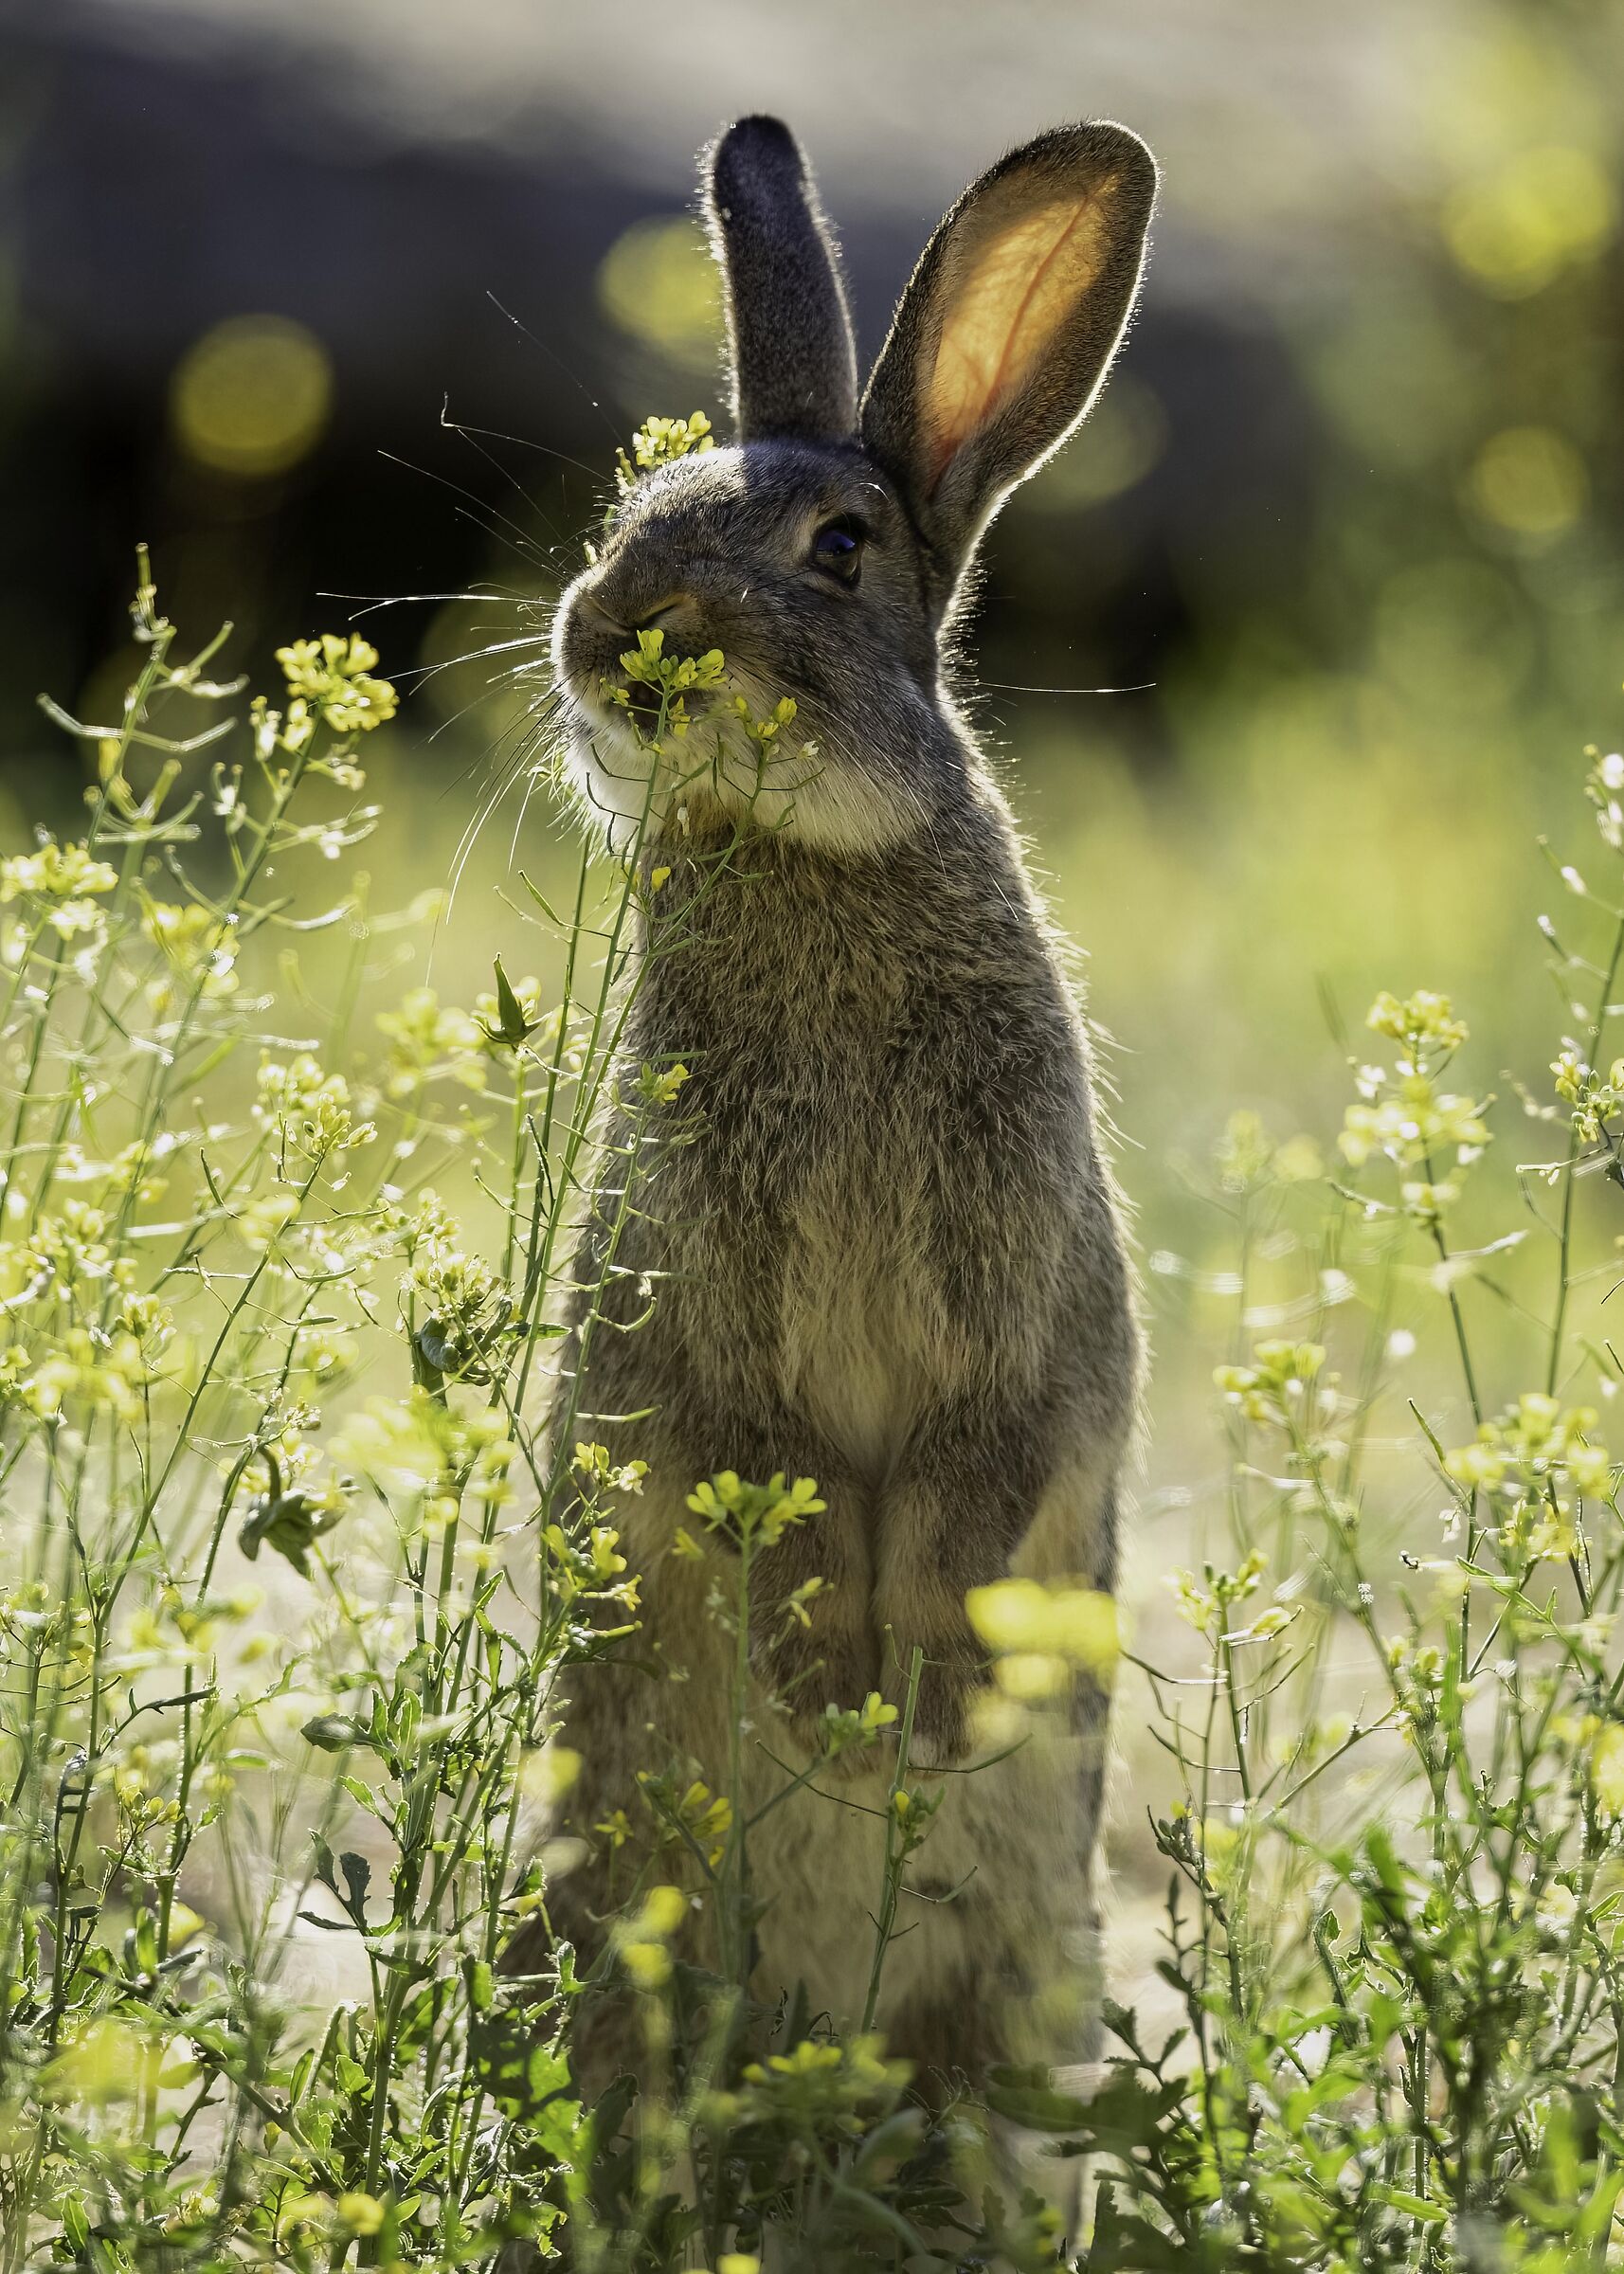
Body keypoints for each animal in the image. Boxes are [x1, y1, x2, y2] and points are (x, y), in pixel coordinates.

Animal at [538, 112, 1155, 2094]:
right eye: (626, 512)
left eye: (838, 546)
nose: (614, 631)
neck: (808, 857)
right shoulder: (694, 1314)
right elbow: (767, 1474)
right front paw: (829, 1696)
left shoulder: (1021, 1309)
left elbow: (977, 1482)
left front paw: (925, 1712)